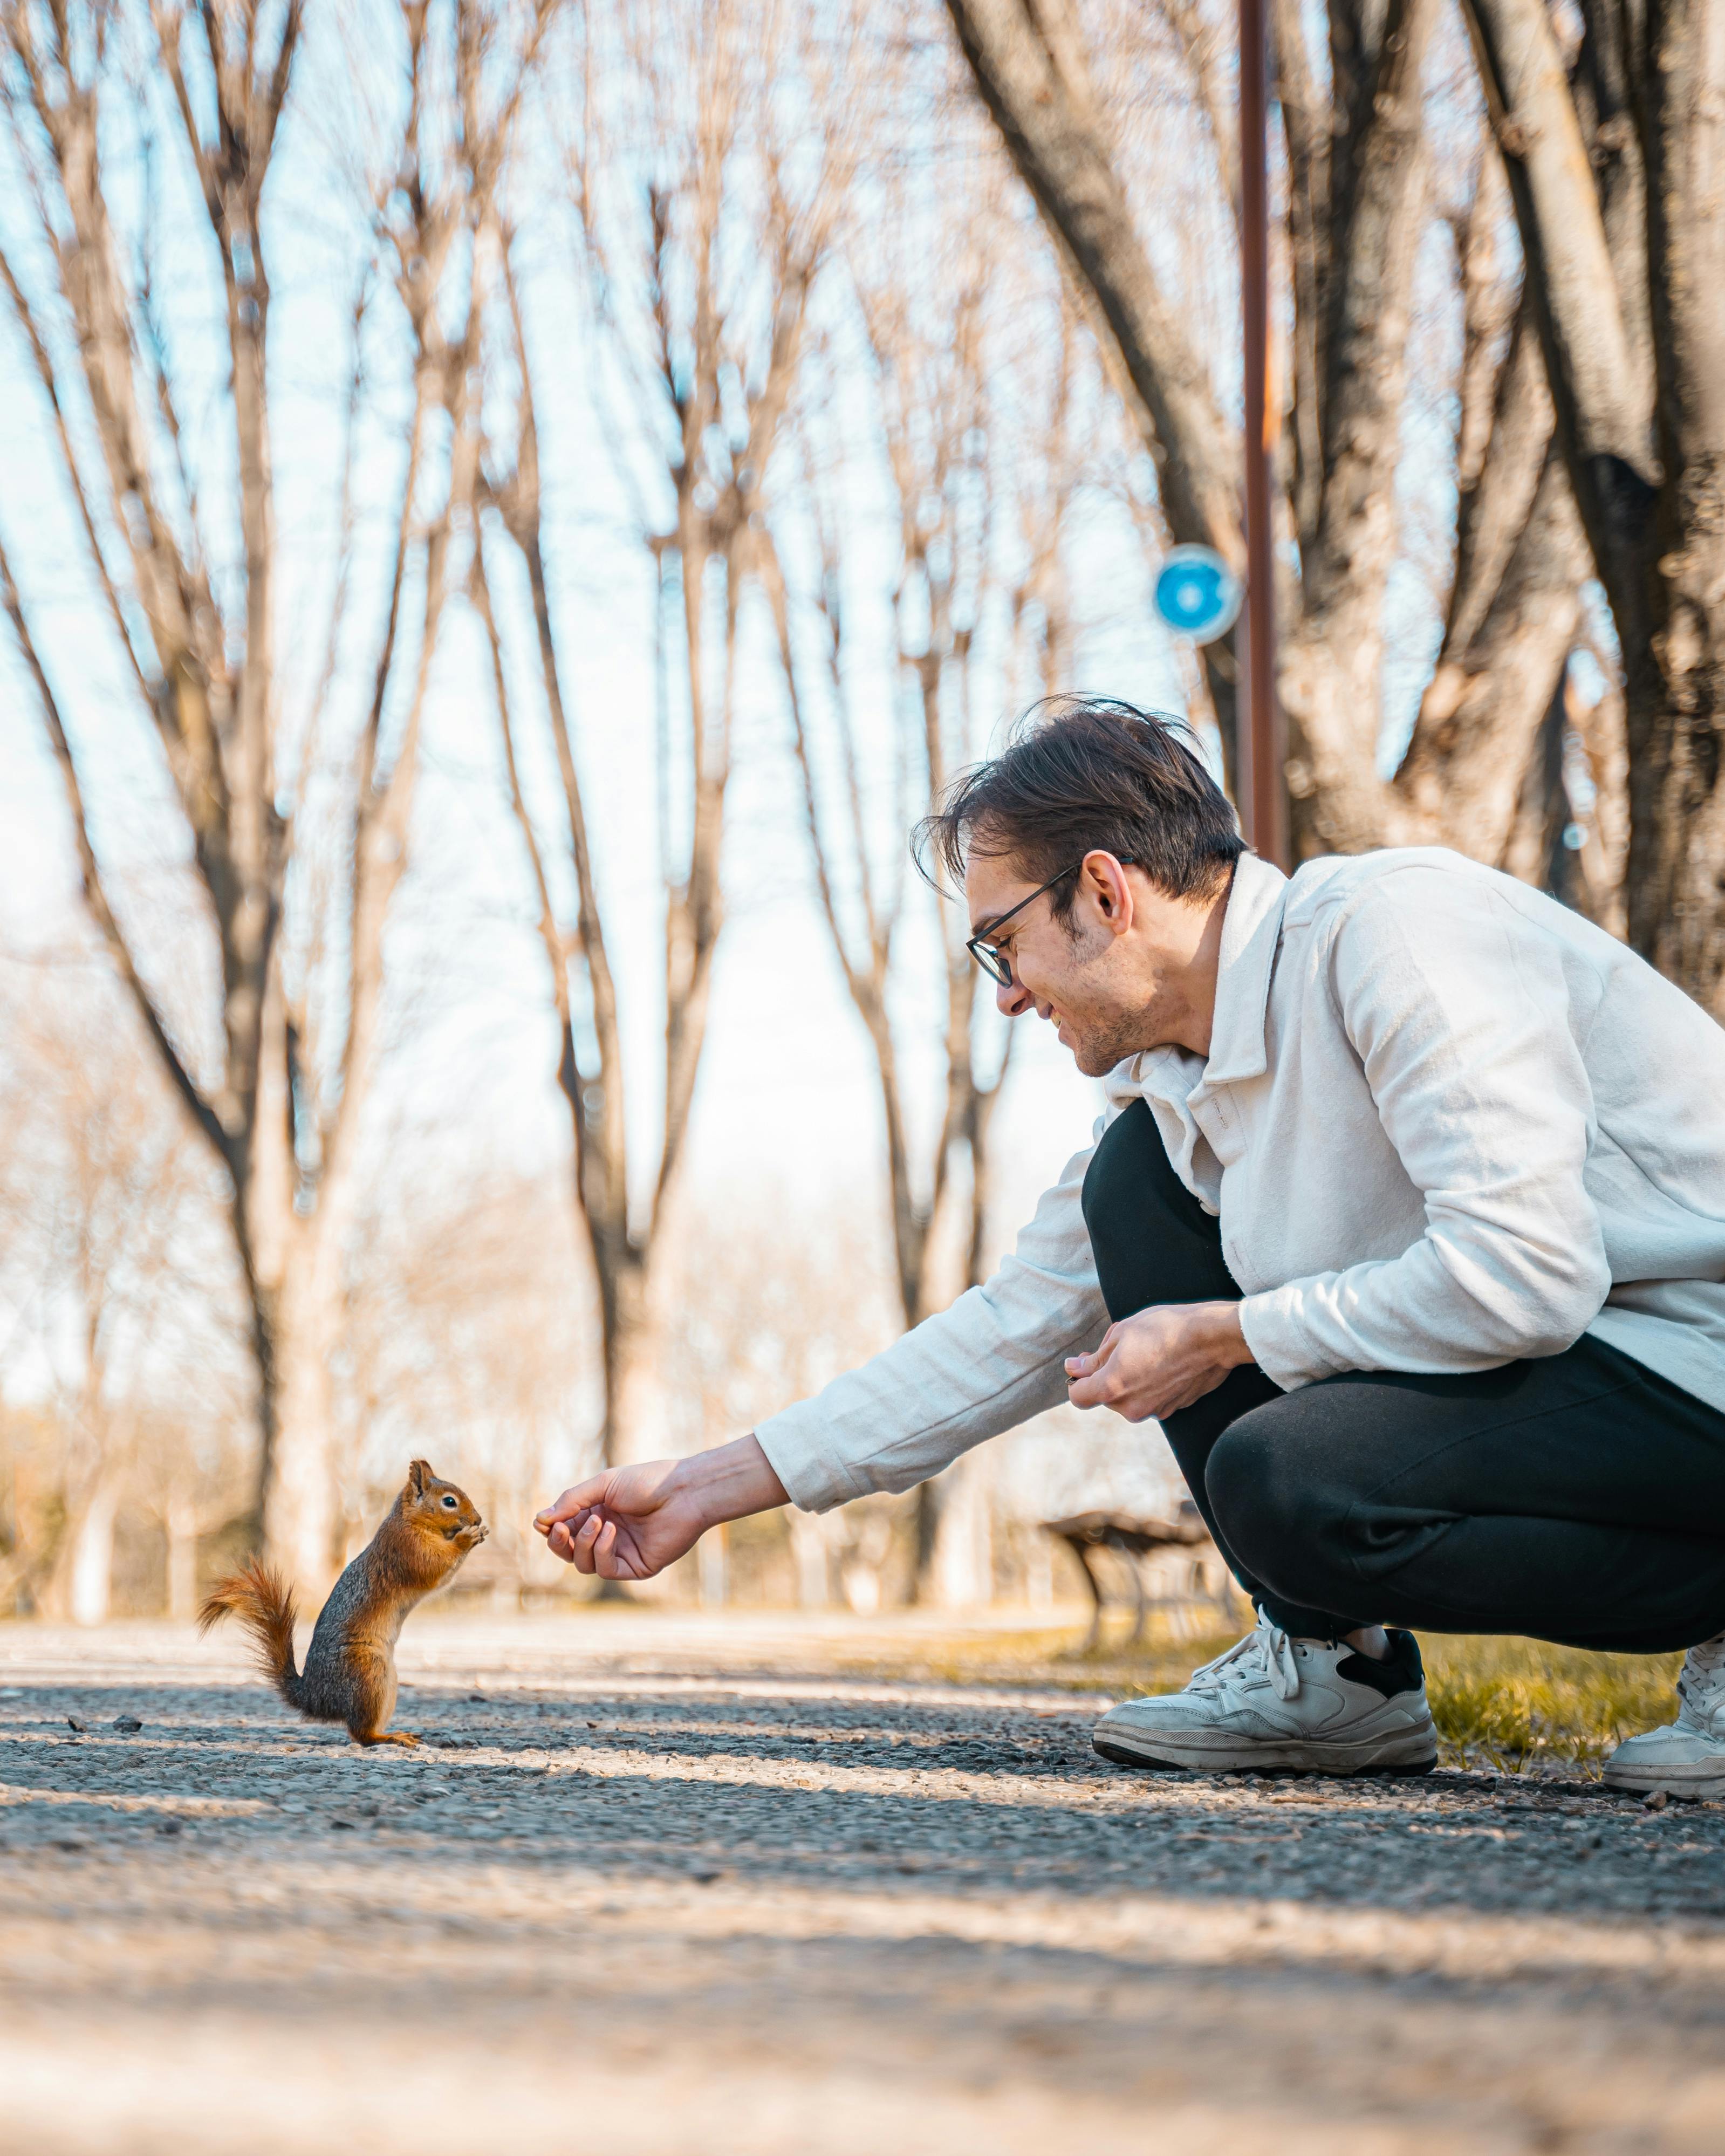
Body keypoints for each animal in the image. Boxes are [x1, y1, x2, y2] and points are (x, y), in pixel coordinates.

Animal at [198, 1457, 489, 1742]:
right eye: (449, 1501)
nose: (478, 1518)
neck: (411, 1520)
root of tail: (315, 1697)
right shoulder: (406, 1548)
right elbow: (433, 1567)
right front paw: (467, 1538)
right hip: (366, 1672)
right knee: (360, 1734)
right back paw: (390, 1738)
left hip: (386, 1679)